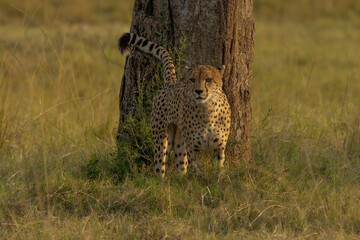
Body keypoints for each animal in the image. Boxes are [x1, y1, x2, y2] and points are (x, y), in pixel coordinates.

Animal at [118, 32, 231, 177]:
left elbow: (218, 168)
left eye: (208, 80)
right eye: (192, 80)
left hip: (179, 143)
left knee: (180, 168)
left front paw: (217, 178)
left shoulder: (219, 148)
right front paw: (201, 178)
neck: (207, 109)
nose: (198, 91)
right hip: (162, 139)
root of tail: (172, 84)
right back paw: (159, 179)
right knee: (160, 163)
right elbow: (197, 169)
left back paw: (180, 178)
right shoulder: (192, 149)